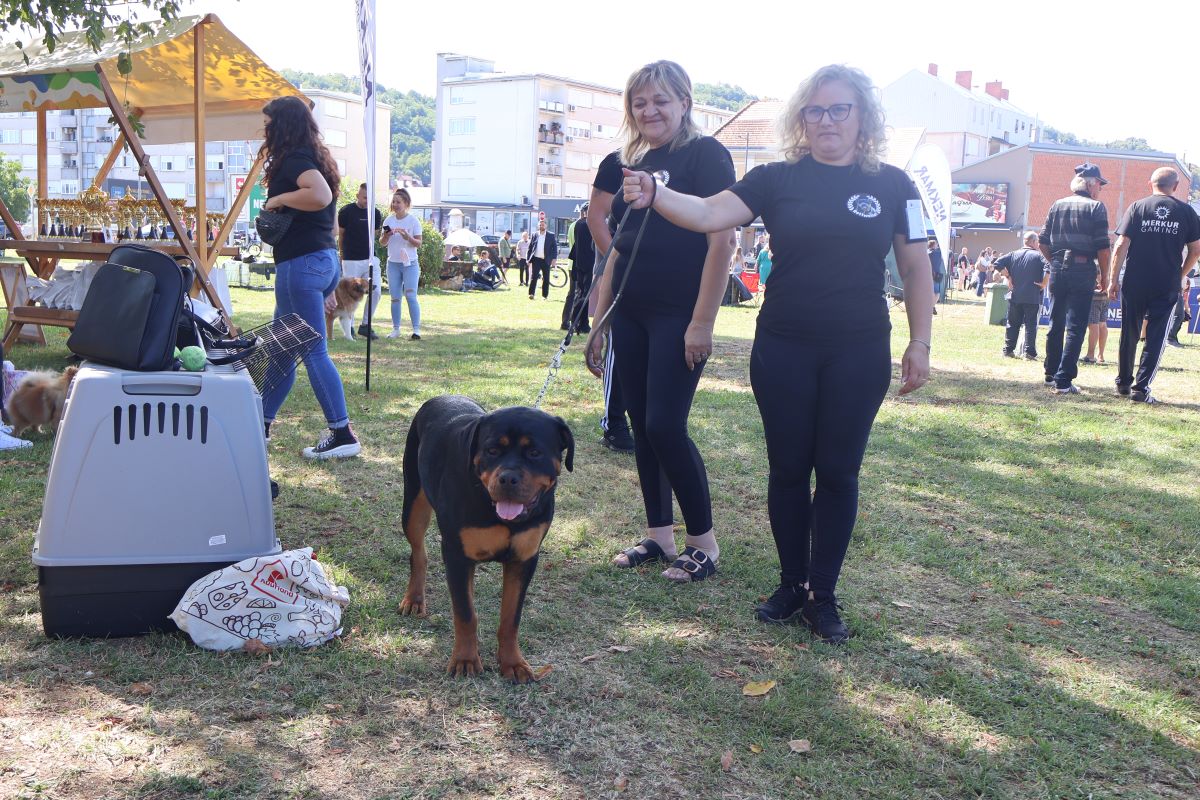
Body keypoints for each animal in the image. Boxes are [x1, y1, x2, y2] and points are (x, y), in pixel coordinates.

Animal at [399, 395, 574, 683]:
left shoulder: (524, 559)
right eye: (492, 450)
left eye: (534, 453)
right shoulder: (456, 555)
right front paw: (465, 660)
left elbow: (510, 618)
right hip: (413, 503)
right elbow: (465, 614)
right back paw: (414, 599)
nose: (508, 477)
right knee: (418, 553)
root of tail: (441, 396)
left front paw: (513, 663)